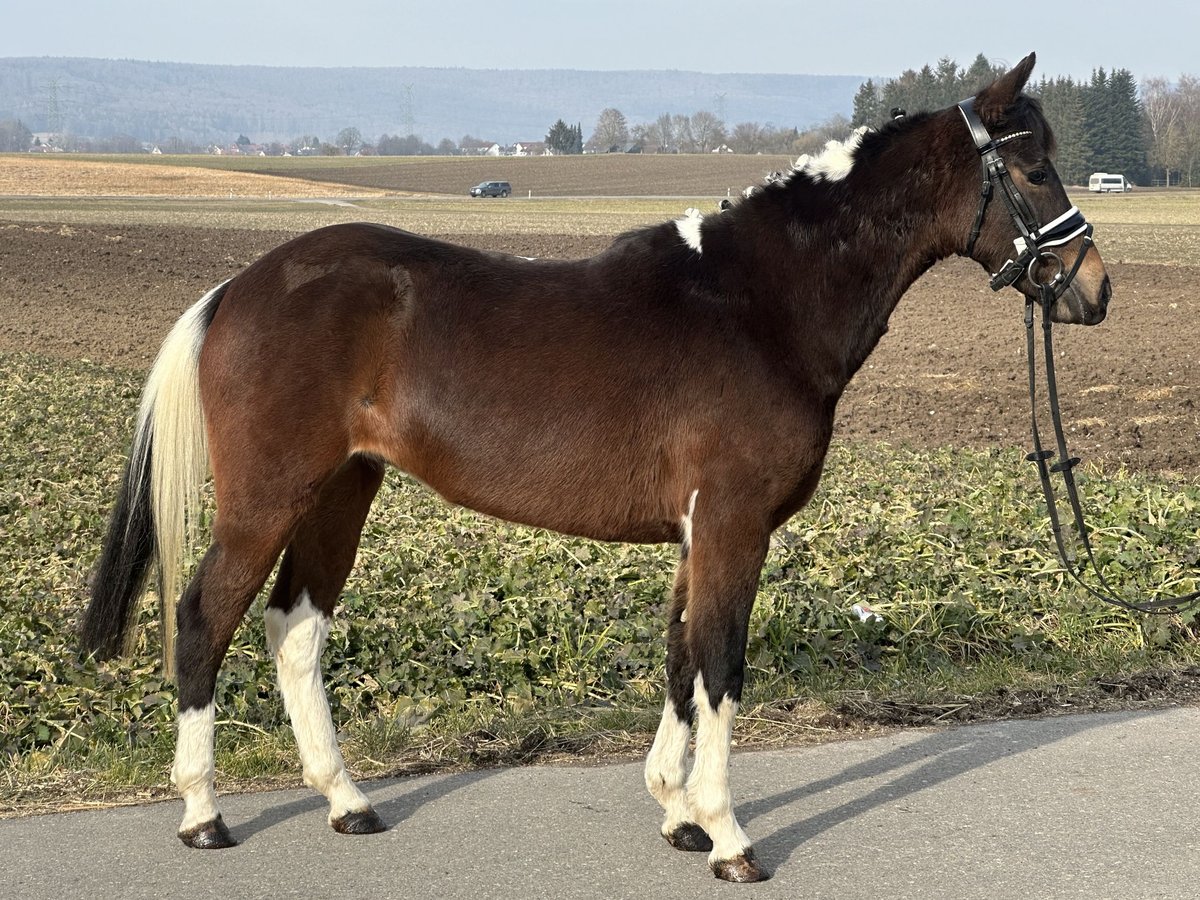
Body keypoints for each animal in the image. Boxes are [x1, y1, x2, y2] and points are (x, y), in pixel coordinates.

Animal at [84, 52, 1108, 883]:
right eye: (1032, 166)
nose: (1092, 290)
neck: (758, 304)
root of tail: (240, 286)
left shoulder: (699, 532)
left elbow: (681, 660)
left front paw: (677, 813)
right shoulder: (733, 524)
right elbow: (723, 662)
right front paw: (728, 836)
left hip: (344, 489)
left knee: (295, 628)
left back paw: (347, 802)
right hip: (269, 498)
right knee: (205, 617)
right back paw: (203, 813)